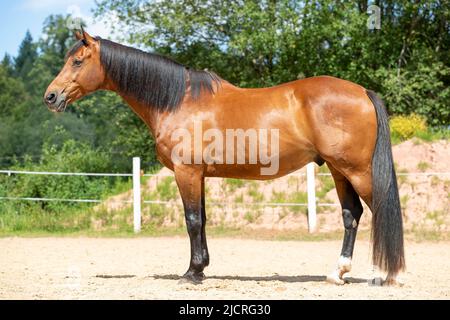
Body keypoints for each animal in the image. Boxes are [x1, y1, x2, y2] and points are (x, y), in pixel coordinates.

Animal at [44, 29, 404, 284]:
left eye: (77, 61)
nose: (51, 96)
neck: (177, 100)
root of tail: (363, 92)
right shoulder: (199, 175)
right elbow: (202, 220)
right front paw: (201, 268)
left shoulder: (186, 172)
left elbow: (191, 220)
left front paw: (191, 274)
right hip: (338, 169)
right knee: (351, 215)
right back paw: (337, 273)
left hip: (356, 170)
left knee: (378, 211)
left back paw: (389, 274)